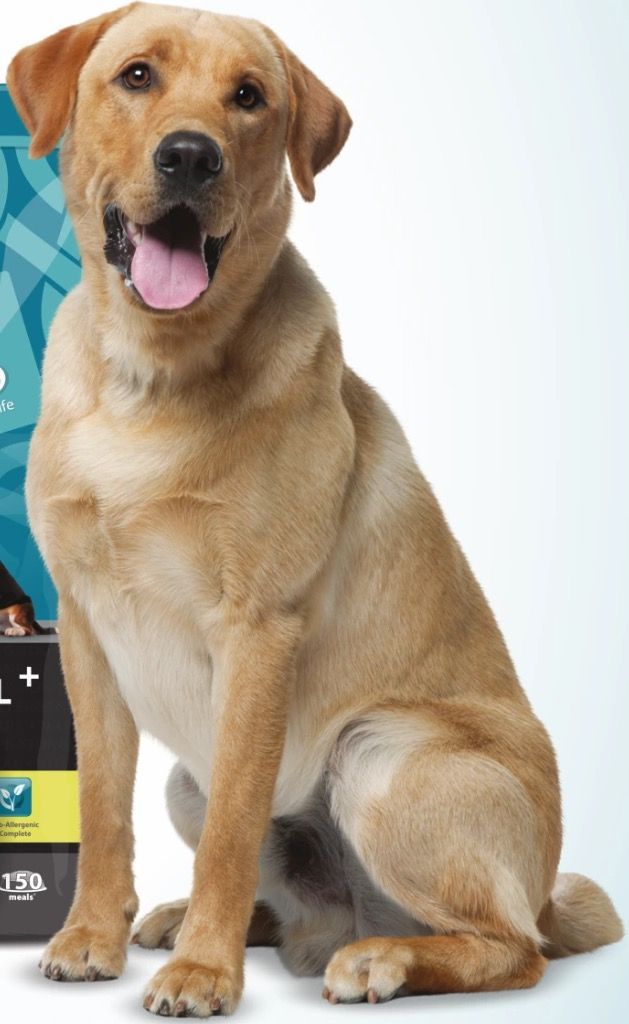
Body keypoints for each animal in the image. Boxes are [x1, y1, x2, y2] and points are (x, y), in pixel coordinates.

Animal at [6, 2, 626, 1015]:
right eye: (136, 76)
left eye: (248, 97)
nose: (191, 156)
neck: (150, 380)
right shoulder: (87, 634)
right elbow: (102, 810)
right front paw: (92, 936)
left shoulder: (257, 633)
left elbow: (229, 834)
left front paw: (204, 977)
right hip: (188, 781)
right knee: (302, 910)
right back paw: (207, 922)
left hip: (381, 757)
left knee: (511, 946)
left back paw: (379, 958)